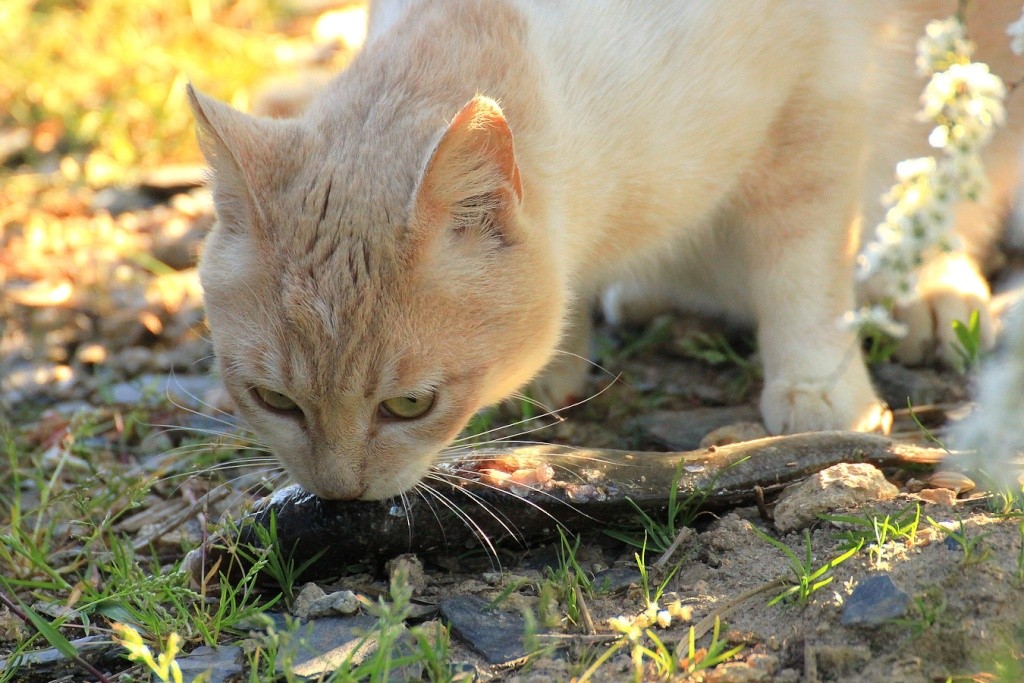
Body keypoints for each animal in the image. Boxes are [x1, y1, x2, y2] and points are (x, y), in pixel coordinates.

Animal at [188, 0, 1019, 501]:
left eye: (409, 405)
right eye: (273, 400)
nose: (339, 495)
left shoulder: (816, 100)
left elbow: (802, 262)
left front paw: (818, 388)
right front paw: (557, 363)